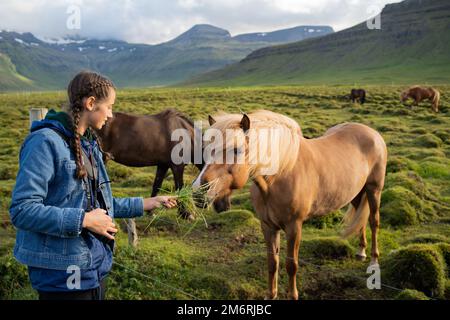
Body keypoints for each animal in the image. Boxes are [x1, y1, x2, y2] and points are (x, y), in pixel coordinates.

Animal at [192, 110, 386, 300]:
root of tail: (372, 132)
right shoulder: (268, 226)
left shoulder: (294, 227)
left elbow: (291, 265)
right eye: (206, 150)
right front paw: (271, 295)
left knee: (373, 222)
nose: (197, 192)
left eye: (236, 150)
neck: (280, 175)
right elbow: (272, 262)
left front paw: (292, 295)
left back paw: (374, 262)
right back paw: (361, 251)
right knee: (360, 219)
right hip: (356, 192)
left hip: (374, 190)